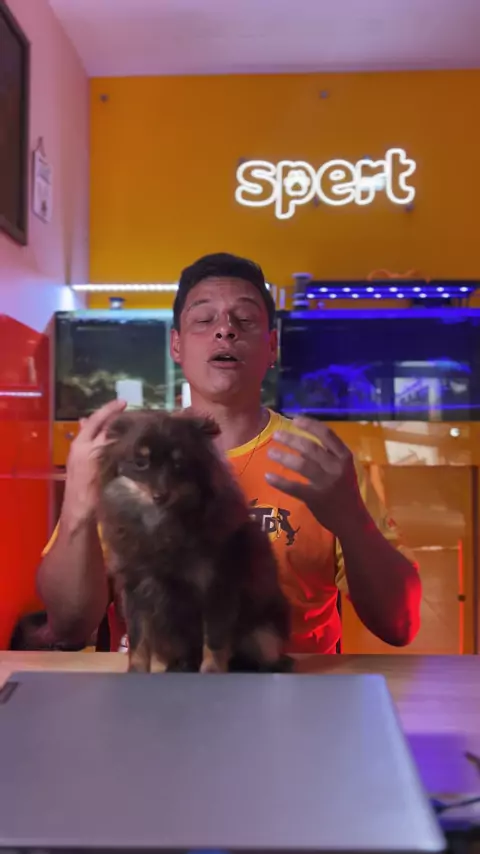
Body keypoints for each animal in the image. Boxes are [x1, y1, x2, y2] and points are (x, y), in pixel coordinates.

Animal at [97, 410, 291, 674]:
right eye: (140, 463)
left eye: (179, 464)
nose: (161, 495)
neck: (160, 524)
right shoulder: (136, 591)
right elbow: (138, 640)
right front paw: (136, 671)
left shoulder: (218, 587)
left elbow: (215, 642)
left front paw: (211, 671)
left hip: (263, 634)